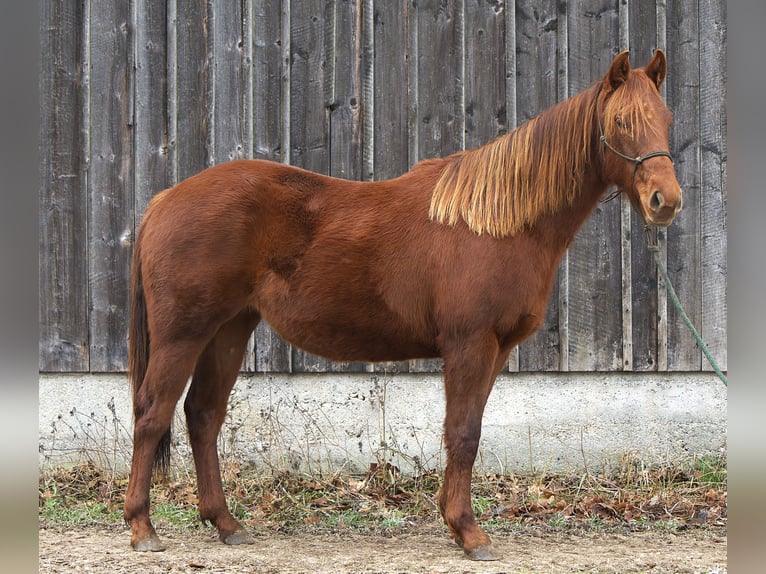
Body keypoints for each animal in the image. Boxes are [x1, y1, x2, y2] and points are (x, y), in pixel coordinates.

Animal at [126, 50, 684, 564]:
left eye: (667, 119)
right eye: (620, 122)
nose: (666, 201)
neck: (496, 223)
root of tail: (162, 201)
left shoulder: (495, 350)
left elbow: (467, 433)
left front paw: (455, 522)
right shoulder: (470, 345)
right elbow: (463, 434)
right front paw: (469, 533)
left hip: (228, 329)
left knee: (203, 416)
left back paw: (225, 523)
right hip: (184, 334)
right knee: (152, 414)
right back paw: (142, 527)